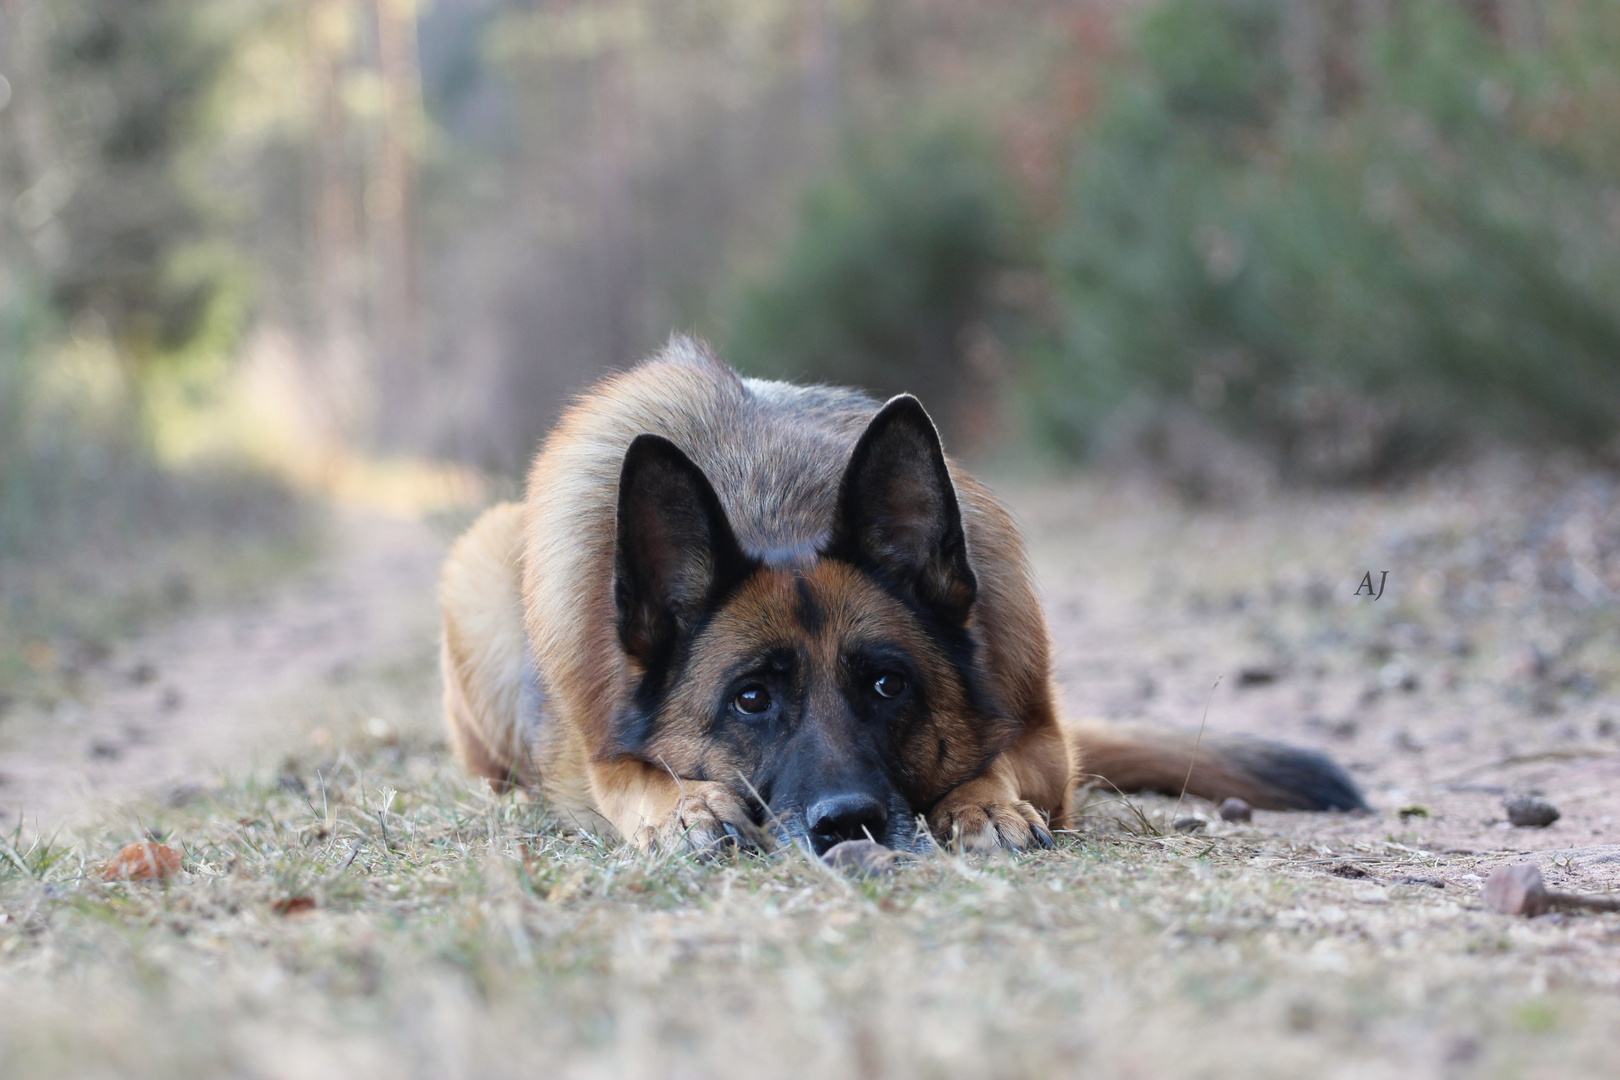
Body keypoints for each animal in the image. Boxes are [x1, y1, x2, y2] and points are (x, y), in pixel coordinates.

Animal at [437, 338, 1360, 854]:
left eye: (888, 685)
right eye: (750, 699)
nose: (848, 825)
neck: (777, 508)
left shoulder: (1045, 741)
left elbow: (994, 763)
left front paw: (983, 806)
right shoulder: (598, 752)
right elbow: (633, 779)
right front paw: (688, 807)